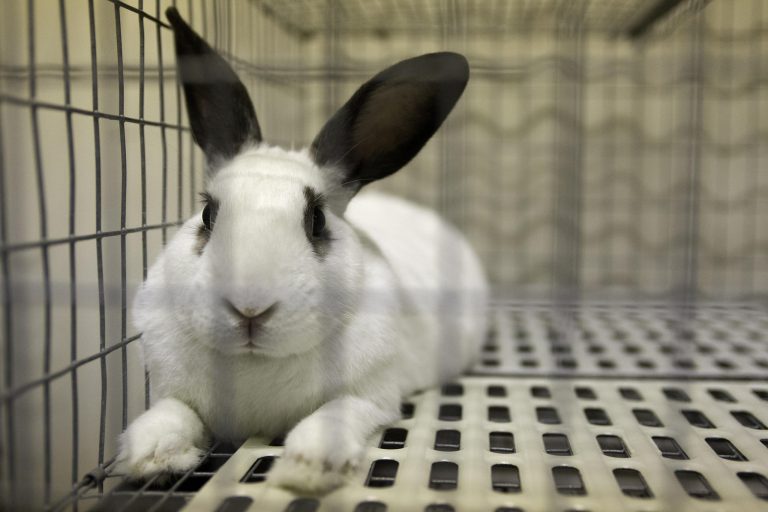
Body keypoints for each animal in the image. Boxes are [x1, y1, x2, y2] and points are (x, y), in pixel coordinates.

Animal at [115, 7, 489, 494]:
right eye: (208, 215)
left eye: (317, 221)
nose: (249, 308)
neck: (253, 367)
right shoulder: (172, 391)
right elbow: (171, 414)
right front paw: (153, 456)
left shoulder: (373, 395)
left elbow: (334, 417)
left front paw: (307, 468)